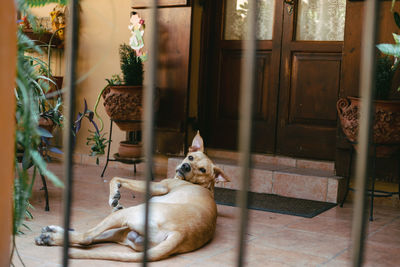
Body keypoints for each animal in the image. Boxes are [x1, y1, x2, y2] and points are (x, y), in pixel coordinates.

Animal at [35, 132, 230, 262]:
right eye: (190, 157)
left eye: (202, 170)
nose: (186, 167)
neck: (202, 185)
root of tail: (181, 234)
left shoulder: (159, 186)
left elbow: (116, 178)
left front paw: (114, 195)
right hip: (122, 232)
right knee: (89, 237)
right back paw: (50, 234)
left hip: (126, 216)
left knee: (87, 238)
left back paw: (52, 237)